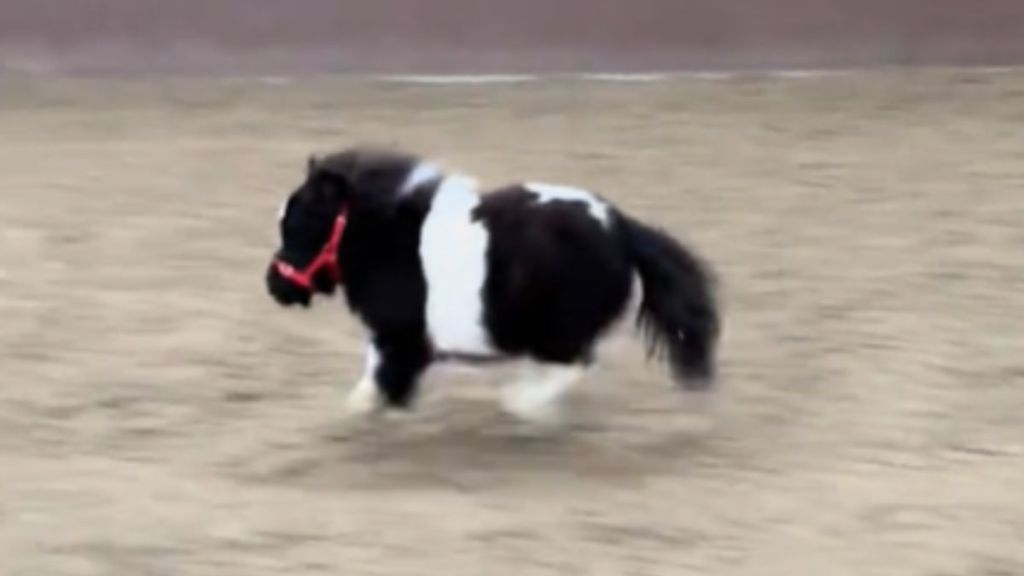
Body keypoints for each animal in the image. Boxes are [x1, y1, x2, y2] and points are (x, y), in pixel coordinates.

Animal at [268, 145, 724, 424]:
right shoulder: (395, 341)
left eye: (300, 226)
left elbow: (384, 388)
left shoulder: (402, 340)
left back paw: (524, 405)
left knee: (574, 364)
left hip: (558, 329)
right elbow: (379, 388)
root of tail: (622, 229)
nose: (274, 284)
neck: (392, 240)